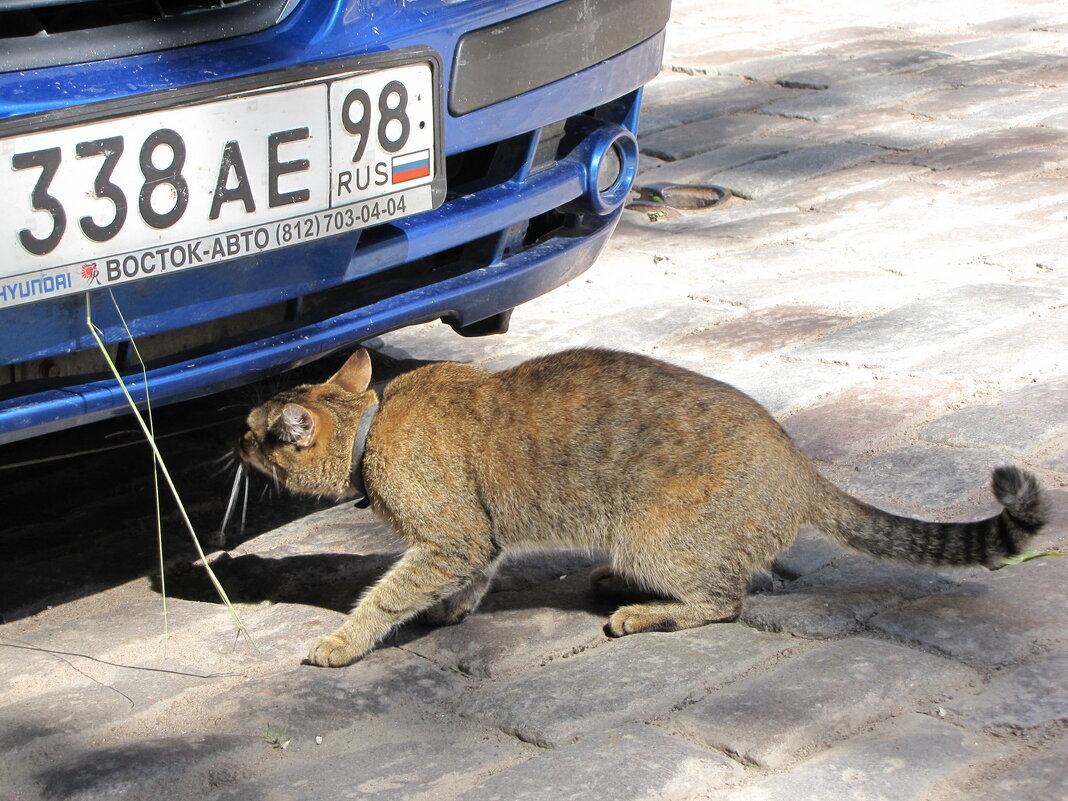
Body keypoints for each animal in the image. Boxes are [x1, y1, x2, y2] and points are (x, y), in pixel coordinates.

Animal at [238, 348, 1046, 666]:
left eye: (253, 431)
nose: (233, 439)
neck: (373, 425)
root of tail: (798, 463)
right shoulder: (478, 537)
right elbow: (470, 579)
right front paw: (451, 611)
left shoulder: (449, 536)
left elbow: (384, 596)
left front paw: (344, 640)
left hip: (656, 538)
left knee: (724, 599)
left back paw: (639, 610)